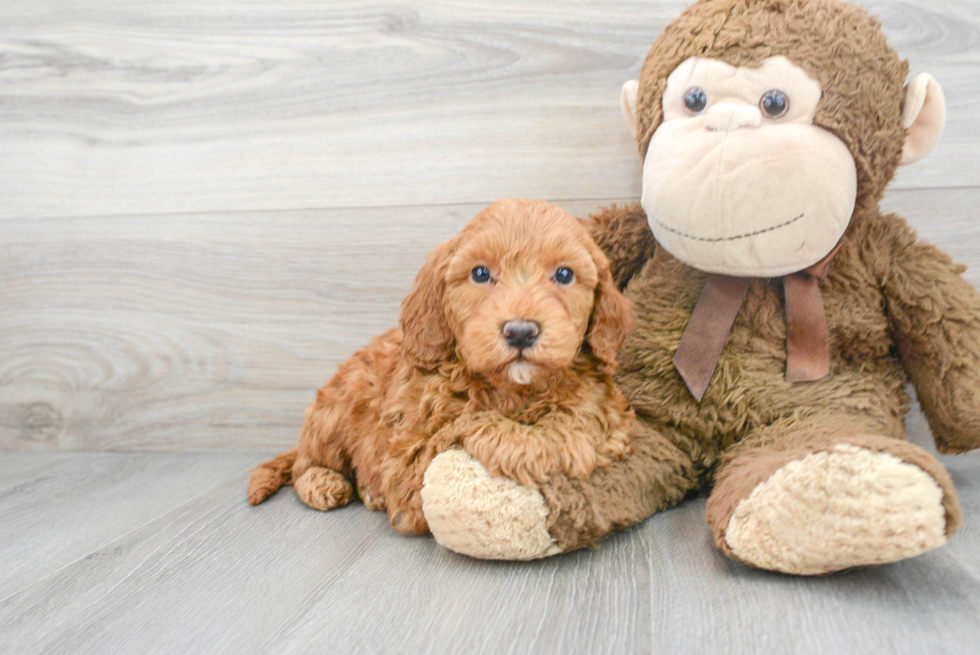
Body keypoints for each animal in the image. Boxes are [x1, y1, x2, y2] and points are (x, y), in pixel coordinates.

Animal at [247, 197, 636, 536]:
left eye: (565, 274)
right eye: (480, 273)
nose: (521, 332)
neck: (513, 389)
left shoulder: (604, 405)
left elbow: (582, 418)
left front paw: (549, 435)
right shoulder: (406, 461)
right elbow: (469, 421)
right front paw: (521, 444)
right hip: (338, 405)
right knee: (304, 464)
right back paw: (326, 482)